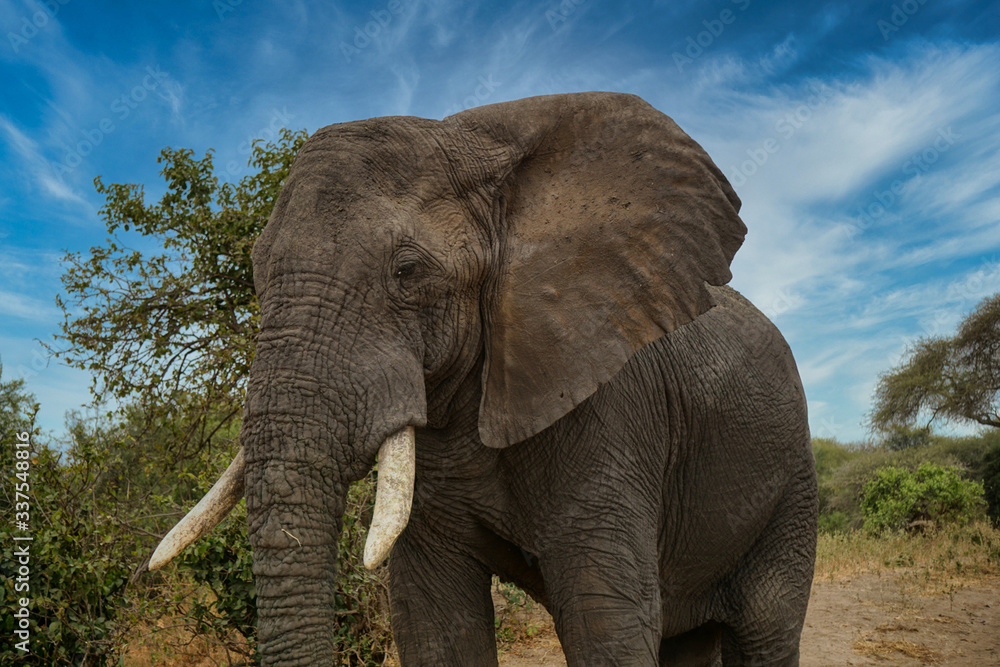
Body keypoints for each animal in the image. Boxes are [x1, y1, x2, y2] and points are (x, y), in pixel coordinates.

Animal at [149, 91, 817, 665]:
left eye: (408, 271)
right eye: (256, 269)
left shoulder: (614, 409)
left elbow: (605, 620)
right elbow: (435, 624)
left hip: (791, 482)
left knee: (766, 630)